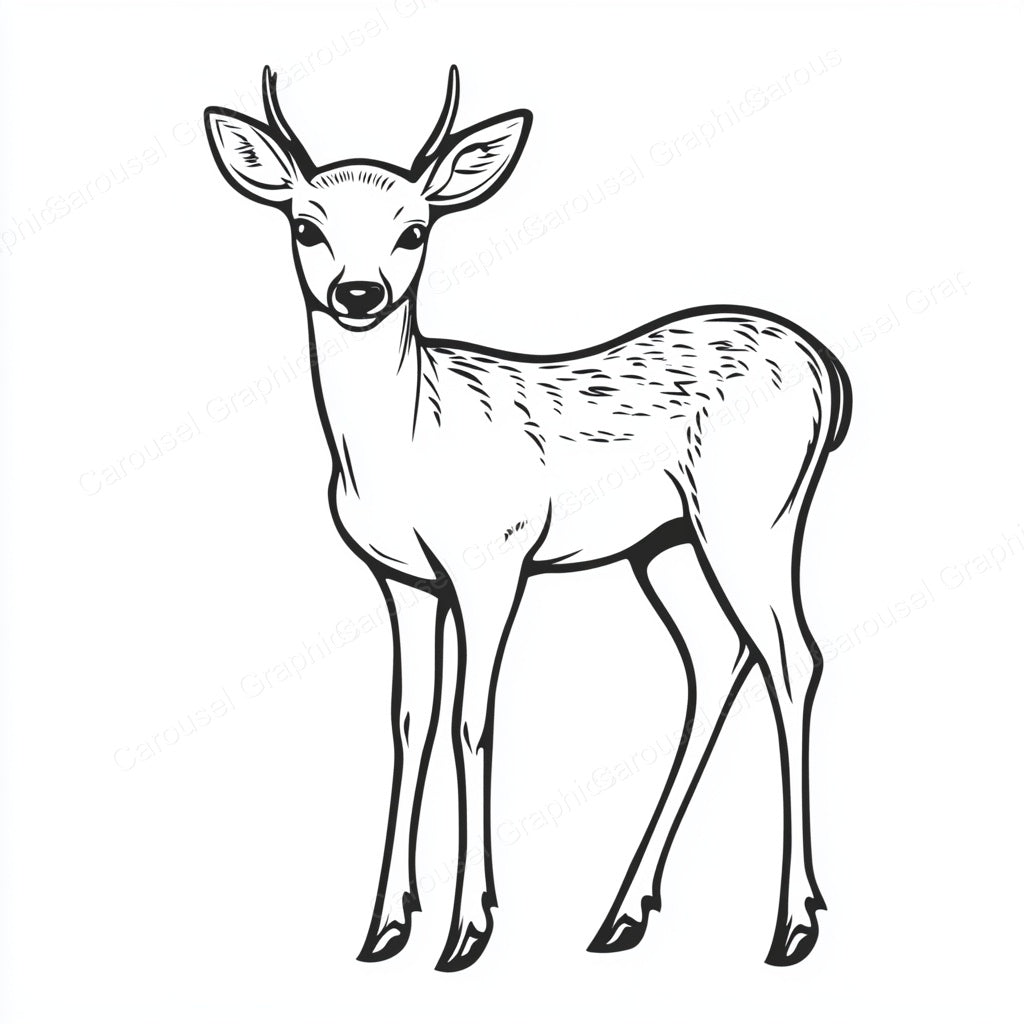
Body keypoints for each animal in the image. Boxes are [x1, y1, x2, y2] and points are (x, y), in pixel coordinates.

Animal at [205, 64, 852, 973]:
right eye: (306, 226)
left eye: (415, 231)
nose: (358, 293)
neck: (407, 443)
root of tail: (829, 373)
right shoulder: (403, 581)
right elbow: (410, 720)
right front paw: (385, 926)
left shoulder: (493, 560)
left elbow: (472, 720)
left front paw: (467, 930)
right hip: (666, 546)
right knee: (719, 656)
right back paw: (623, 914)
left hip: (753, 515)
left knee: (793, 657)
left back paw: (793, 923)